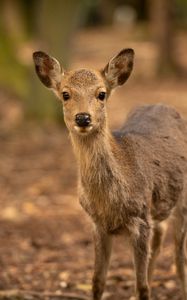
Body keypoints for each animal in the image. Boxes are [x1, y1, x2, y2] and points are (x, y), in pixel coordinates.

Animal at [32, 49, 187, 300]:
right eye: (65, 94)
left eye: (101, 94)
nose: (83, 118)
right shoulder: (98, 224)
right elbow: (97, 281)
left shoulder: (140, 219)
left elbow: (142, 287)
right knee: (160, 239)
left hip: (182, 201)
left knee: (179, 256)